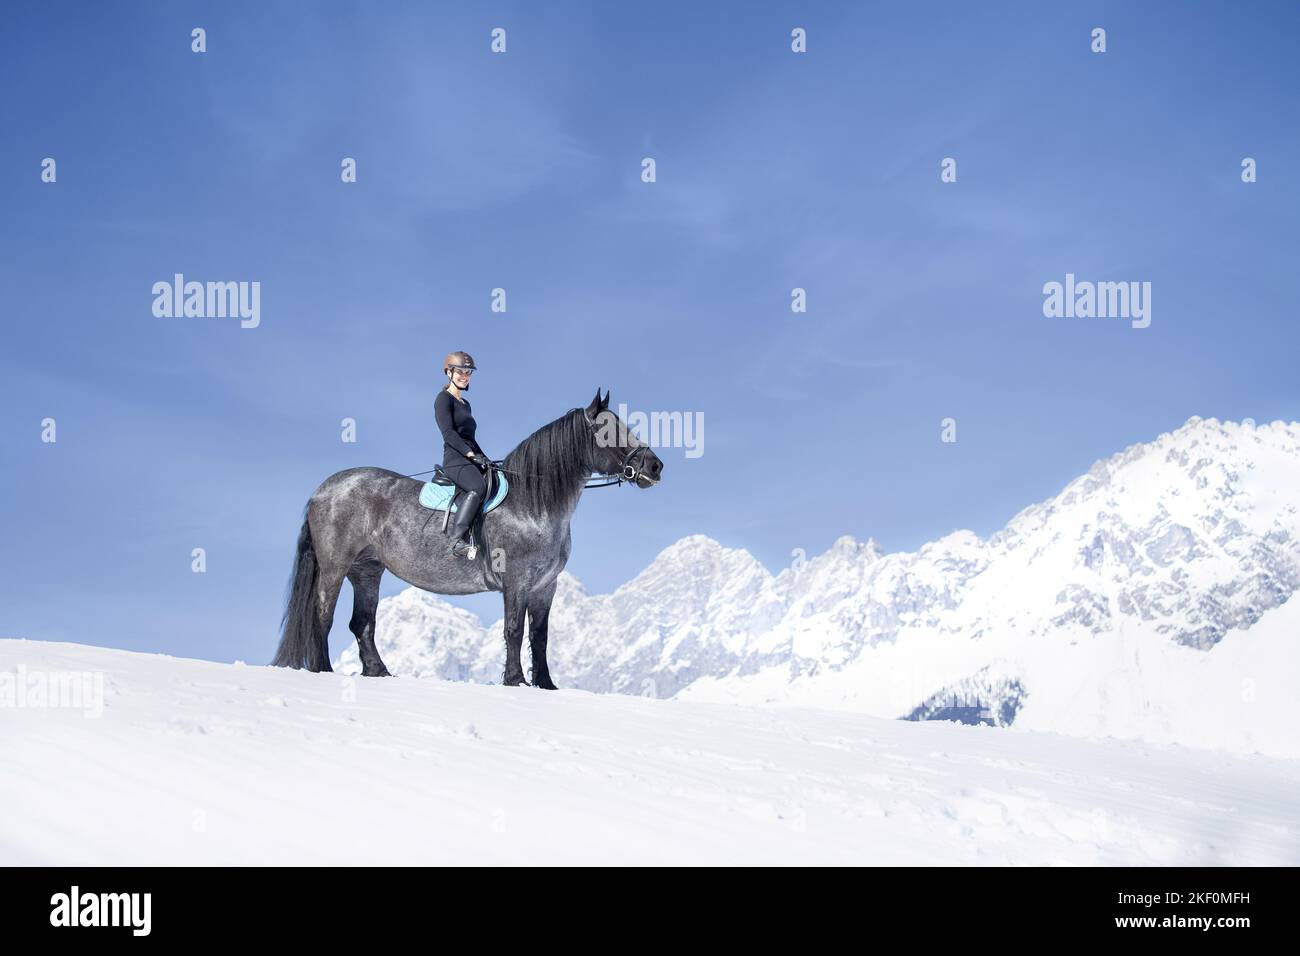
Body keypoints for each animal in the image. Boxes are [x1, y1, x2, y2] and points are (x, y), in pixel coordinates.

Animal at [271, 388, 663, 688]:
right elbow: (513, 630)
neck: (532, 505)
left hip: (367, 570)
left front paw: (546, 684)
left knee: (362, 623)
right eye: (608, 430)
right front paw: (515, 680)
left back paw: (378, 672)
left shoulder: (545, 587)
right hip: (334, 566)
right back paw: (323, 670)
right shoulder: (517, 582)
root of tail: (323, 490)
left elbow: (539, 637)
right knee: (323, 615)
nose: (654, 466)